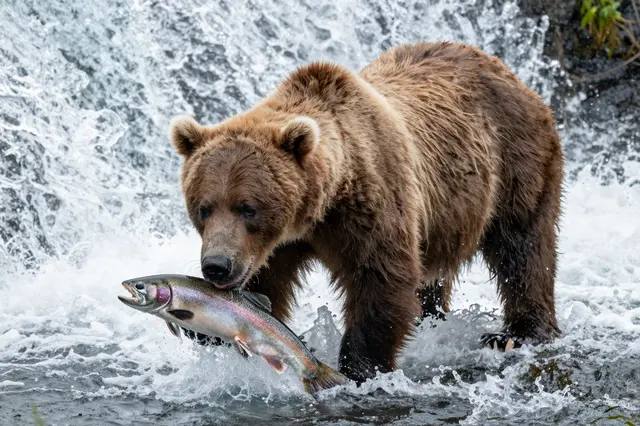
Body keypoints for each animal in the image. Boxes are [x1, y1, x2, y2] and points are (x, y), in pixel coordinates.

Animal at [168, 41, 564, 384]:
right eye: (203, 208)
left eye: (247, 208)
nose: (217, 266)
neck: (317, 208)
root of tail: (504, 69)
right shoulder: (278, 246)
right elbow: (266, 286)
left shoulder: (370, 203)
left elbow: (382, 280)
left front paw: (360, 368)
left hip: (516, 162)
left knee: (523, 249)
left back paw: (516, 334)